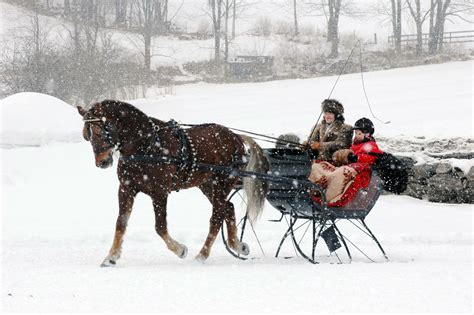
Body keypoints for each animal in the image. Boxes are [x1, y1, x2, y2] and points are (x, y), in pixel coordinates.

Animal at [79, 99, 268, 266]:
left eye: (99, 132)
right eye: (87, 136)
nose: (102, 162)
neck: (146, 145)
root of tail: (235, 136)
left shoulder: (159, 192)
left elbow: (160, 227)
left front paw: (180, 249)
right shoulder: (126, 188)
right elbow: (121, 223)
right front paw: (111, 257)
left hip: (221, 183)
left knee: (216, 217)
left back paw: (202, 255)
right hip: (207, 185)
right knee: (227, 208)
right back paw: (237, 245)